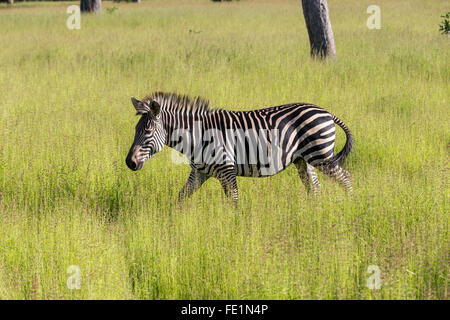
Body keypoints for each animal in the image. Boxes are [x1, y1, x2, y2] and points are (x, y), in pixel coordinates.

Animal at [125, 91, 354, 204]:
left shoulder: (227, 171)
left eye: (147, 131)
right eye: (135, 129)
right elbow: (181, 198)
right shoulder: (198, 173)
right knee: (315, 188)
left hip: (320, 155)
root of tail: (326, 112)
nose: (129, 163)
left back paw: (351, 207)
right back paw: (315, 213)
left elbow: (234, 202)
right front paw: (173, 224)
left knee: (346, 178)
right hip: (303, 160)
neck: (197, 136)